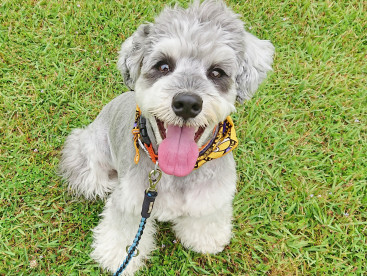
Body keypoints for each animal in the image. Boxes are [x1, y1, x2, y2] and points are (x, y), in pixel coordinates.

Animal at [59, 0, 274, 274]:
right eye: (163, 66)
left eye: (217, 73)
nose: (187, 103)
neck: (176, 173)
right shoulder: (131, 204)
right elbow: (123, 233)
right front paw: (117, 258)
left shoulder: (211, 199)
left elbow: (206, 219)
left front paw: (205, 239)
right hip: (88, 153)